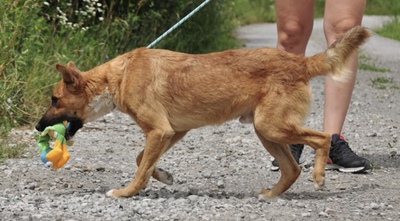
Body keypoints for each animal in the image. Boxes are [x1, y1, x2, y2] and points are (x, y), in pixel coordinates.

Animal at [36, 25, 370, 199]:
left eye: (54, 100)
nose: (38, 127)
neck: (118, 75)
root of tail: (300, 62)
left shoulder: (159, 131)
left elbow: (140, 168)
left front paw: (127, 192)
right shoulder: (172, 132)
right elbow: (142, 159)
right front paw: (164, 176)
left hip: (272, 127)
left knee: (322, 138)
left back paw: (319, 176)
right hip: (265, 131)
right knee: (291, 169)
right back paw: (270, 195)